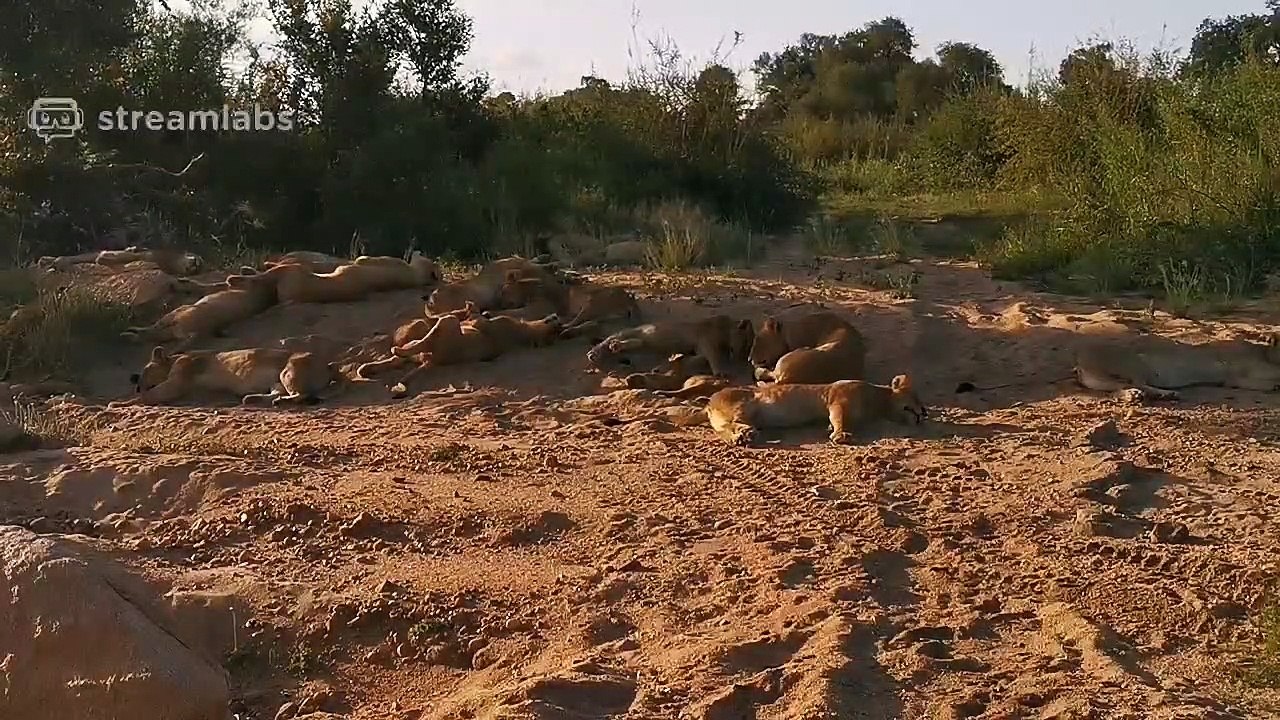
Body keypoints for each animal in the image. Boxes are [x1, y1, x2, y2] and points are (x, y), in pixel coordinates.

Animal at [117, 346, 340, 406]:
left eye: (145, 370)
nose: (136, 384)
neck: (174, 359)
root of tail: (328, 365)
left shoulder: (177, 382)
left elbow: (150, 395)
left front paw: (120, 403)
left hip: (288, 371)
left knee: (302, 395)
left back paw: (280, 402)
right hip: (277, 380)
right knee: (277, 393)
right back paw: (251, 398)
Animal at [586, 315, 755, 377]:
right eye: (746, 343)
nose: (742, 360)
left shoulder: (699, 349)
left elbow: (694, 359)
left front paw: (663, 367)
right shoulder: (707, 342)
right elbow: (713, 358)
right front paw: (721, 372)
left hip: (643, 342)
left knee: (631, 343)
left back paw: (614, 348)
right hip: (635, 332)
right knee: (611, 338)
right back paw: (595, 353)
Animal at [706, 374, 927, 446]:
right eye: (916, 397)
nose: (925, 412)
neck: (878, 401)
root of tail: (710, 400)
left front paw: (833, 430)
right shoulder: (838, 400)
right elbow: (839, 418)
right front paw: (841, 435)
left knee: (723, 431)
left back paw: (742, 437)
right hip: (742, 407)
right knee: (732, 425)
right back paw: (745, 434)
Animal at [1074, 332, 1280, 400]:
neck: (1266, 353)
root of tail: (1080, 363)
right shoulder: (1238, 375)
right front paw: (1275, 385)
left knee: (1119, 388)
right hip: (1136, 362)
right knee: (1137, 383)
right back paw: (1164, 394)